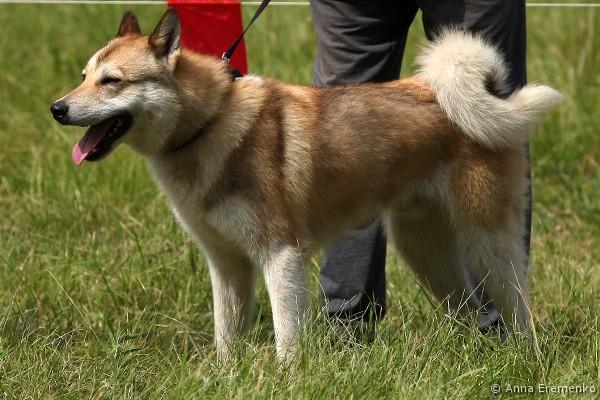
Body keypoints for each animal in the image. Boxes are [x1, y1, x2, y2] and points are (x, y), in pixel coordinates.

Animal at [51, 9, 563, 359]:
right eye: (83, 77)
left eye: (111, 81)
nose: (57, 108)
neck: (208, 122)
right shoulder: (227, 264)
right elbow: (225, 335)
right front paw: (224, 377)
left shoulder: (280, 255)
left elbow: (286, 337)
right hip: (424, 250)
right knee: (468, 307)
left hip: (488, 244)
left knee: (517, 306)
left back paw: (525, 361)